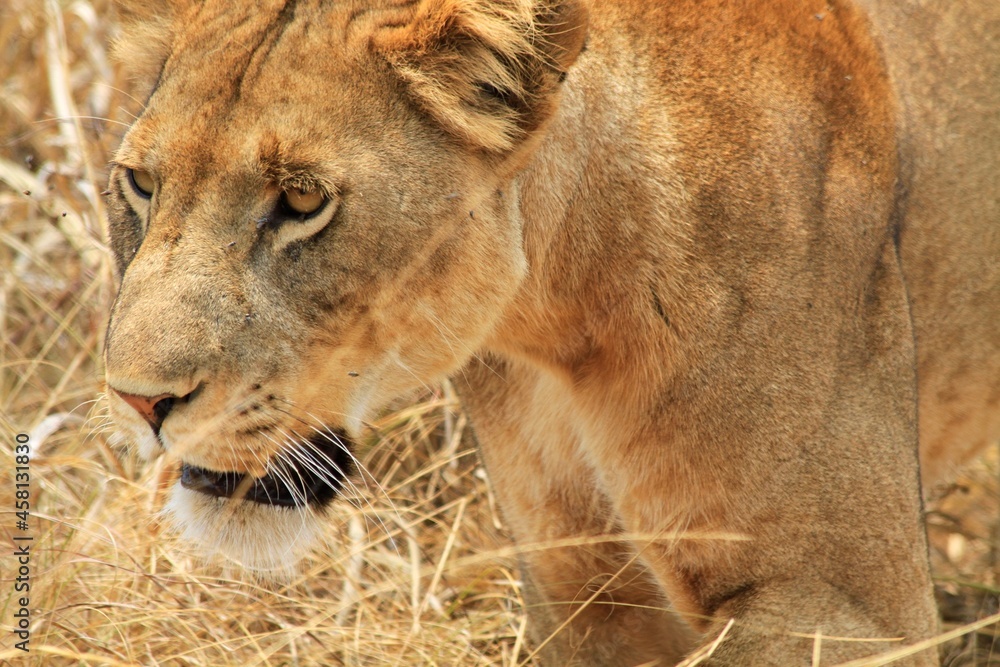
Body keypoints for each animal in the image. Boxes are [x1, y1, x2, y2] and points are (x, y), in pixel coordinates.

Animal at [102, 0, 1000, 664]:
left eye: (301, 200)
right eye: (141, 184)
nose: (138, 401)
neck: (559, 324)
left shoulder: (848, 610)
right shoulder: (587, 599)